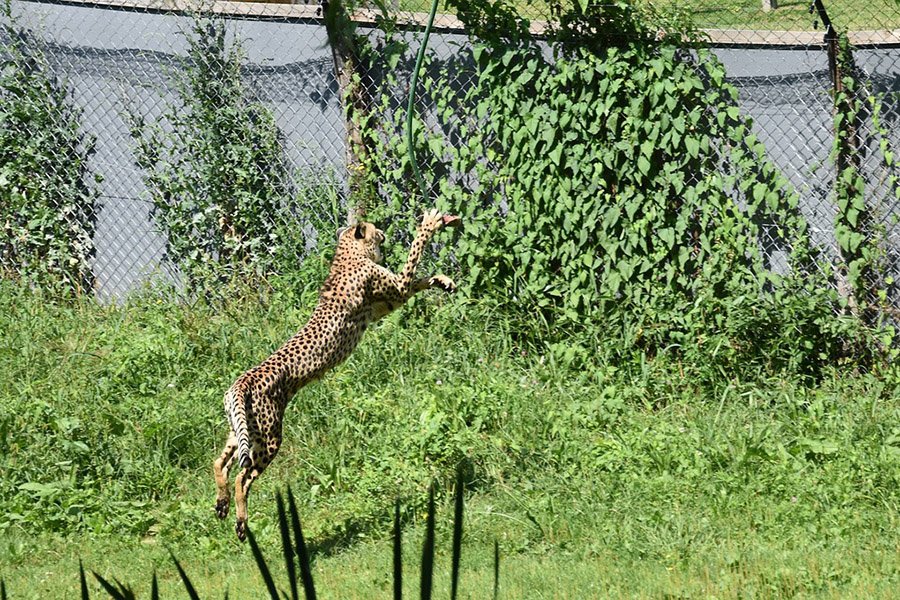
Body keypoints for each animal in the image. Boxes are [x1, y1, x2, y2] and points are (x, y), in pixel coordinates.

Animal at [212, 208, 461, 541]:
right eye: (373, 228)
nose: (382, 231)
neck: (348, 253)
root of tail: (242, 381)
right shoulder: (396, 290)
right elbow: (415, 253)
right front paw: (430, 224)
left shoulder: (388, 303)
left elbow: (420, 277)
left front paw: (443, 280)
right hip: (269, 437)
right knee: (243, 476)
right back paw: (240, 521)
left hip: (242, 430)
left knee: (220, 462)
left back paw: (222, 504)